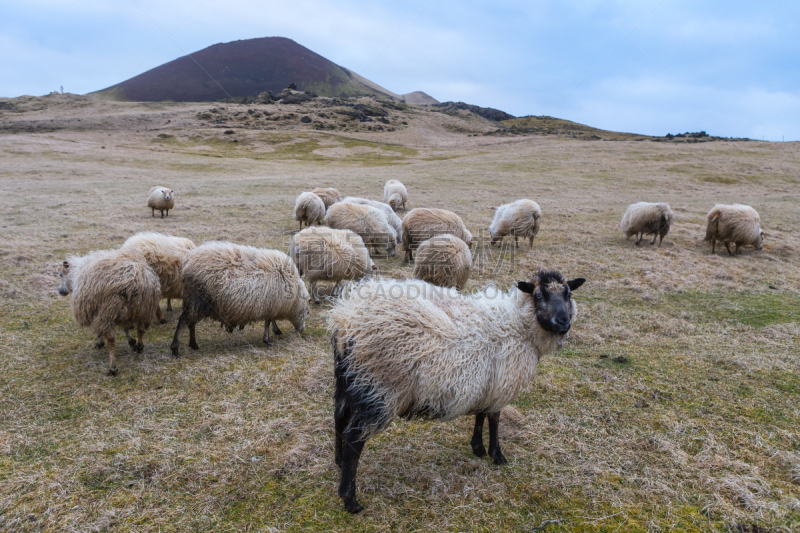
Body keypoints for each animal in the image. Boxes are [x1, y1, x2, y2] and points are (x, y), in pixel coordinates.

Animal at [170, 241, 310, 354]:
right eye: (307, 312)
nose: (302, 330)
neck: (294, 294)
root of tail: (187, 263)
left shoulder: (271, 305)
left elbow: (270, 321)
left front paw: (275, 331)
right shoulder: (272, 305)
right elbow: (268, 322)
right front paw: (268, 340)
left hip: (195, 303)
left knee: (191, 323)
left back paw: (193, 344)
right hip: (197, 300)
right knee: (183, 322)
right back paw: (175, 349)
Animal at [332, 270, 588, 512]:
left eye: (568, 294)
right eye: (539, 295)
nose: (563, 322)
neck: (520, 324)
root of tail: (346, 319)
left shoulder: (488, 384)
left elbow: (481, 415)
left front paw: (478, 448)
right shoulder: (502, 386)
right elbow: (494, 419)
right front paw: (497, 455)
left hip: (349, 382)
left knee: (339, 420)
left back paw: (338, 461)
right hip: (381, 388)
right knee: (354, 438)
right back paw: (350, 499)